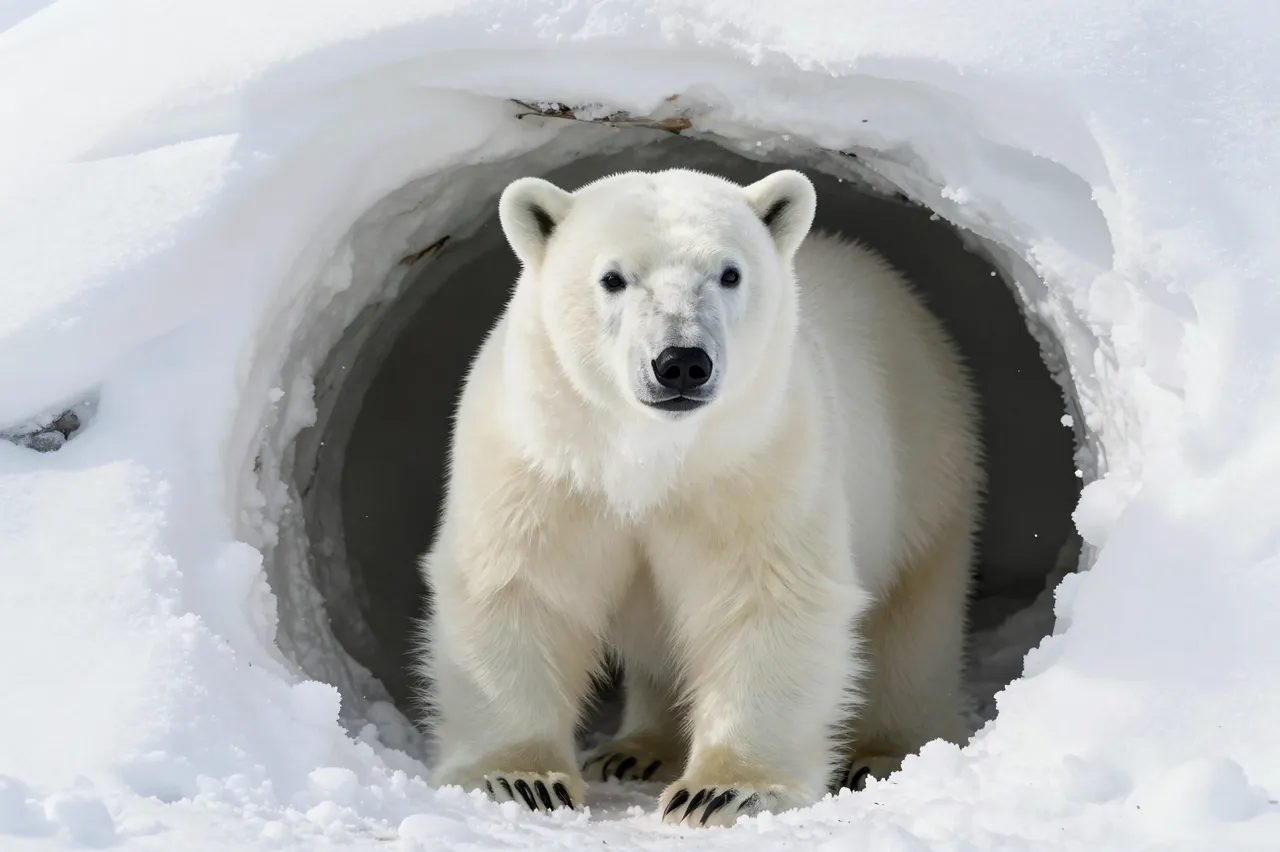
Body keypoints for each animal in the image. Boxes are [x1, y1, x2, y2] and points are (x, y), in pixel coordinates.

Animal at [415, 166, 982, 828]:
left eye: (729, 272)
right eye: (613, 277)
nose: (681, 361)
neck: (650, 453)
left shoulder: (762, 455)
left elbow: (764, 599)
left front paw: (722, 792)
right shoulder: (542, 458)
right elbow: (520, 587)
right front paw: (519, 780)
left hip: (925, 456)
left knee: (913, 622)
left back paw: (884, 752)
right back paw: (637, 749)